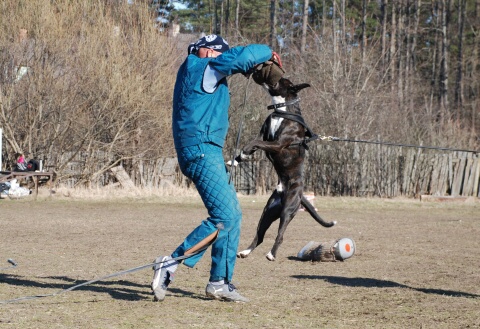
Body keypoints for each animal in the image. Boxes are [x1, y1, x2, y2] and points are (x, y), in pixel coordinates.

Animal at [235, 77, 334, 262]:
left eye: (282, 80)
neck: (281, 110)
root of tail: (299, 195)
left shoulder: (278, 144)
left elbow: (254, 143)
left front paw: (243, 154)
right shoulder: (264, 136)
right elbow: (253, 142)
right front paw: (236, 160)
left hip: (287, 211)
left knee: (280, 235)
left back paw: (271, 254)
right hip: (267, 213)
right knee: (259, 236)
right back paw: (245, 252)